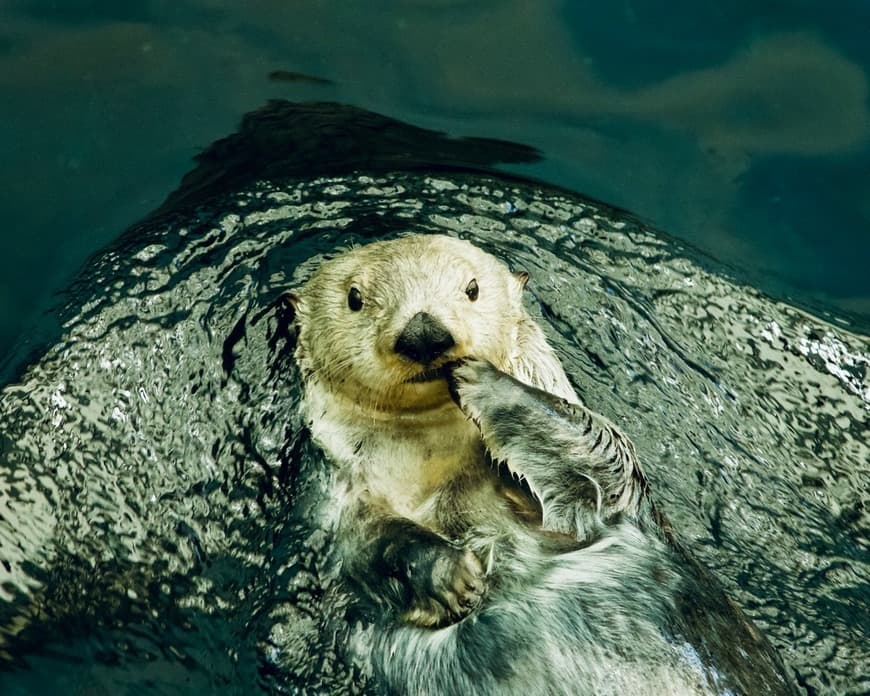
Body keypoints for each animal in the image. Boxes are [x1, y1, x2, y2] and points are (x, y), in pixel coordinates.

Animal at [292, 235, 796, 696]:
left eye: (472, 288)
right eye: (355, 298)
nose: (424, 334)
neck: (435, 465)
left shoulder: (604, 496)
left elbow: (593, 449)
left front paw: (480, 377)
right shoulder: (338, 495)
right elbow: (363, 545)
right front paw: (453, 578)